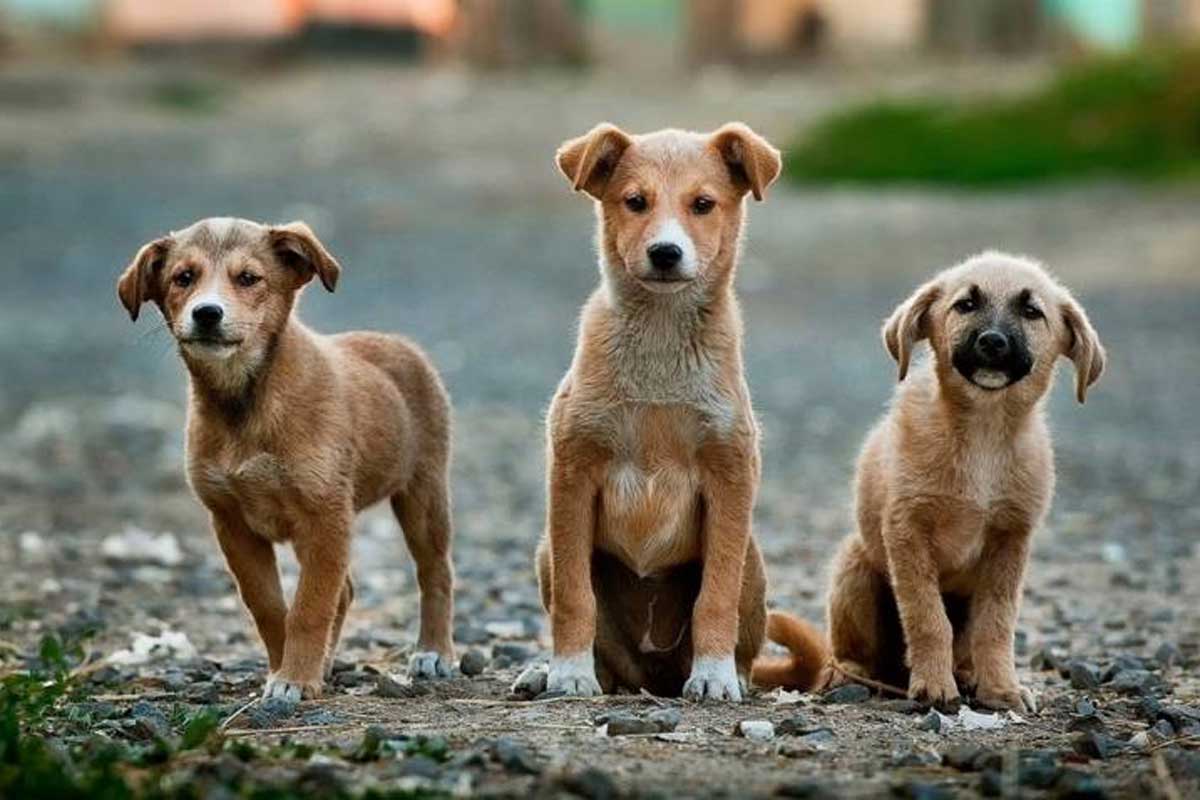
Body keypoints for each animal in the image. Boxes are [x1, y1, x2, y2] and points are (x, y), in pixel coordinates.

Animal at [117, 219, 453, 700]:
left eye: (248, 278)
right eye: (184, 278)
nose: (207, 313)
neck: (245, 403)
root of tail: (398, 343)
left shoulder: (325, 516)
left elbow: (310, 606)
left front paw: (295, 678)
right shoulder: (232, 523)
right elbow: (270, 606)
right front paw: (286, 669)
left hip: (423, 494)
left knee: (435, 572)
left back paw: (433, 652)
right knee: (346, 591)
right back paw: (327, 663)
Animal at [532, 120, 777, 700]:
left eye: (703, 204)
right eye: (635, 201)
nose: (666, 252)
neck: (661, 344)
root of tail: (652, 677)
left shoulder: (730, 475)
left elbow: (716, 596)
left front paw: (713, 675)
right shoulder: (572, 472)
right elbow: (575, 598)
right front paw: (568, 672)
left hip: (753, 559)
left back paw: (729, 673)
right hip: (546, 550)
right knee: (605, 651)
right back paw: (548, 673)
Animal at [758, 253, 1104, 710]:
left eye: (1032, 312)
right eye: (966, 305)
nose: (992, 342)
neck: (983, 433)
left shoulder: (1010, 541)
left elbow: (996, 625)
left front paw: (1001, 688)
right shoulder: (907, 530)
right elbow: (927, 617)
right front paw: (935, 686)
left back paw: (968, 675)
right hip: (855, 567)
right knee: (848, 652)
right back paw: (851, 675)